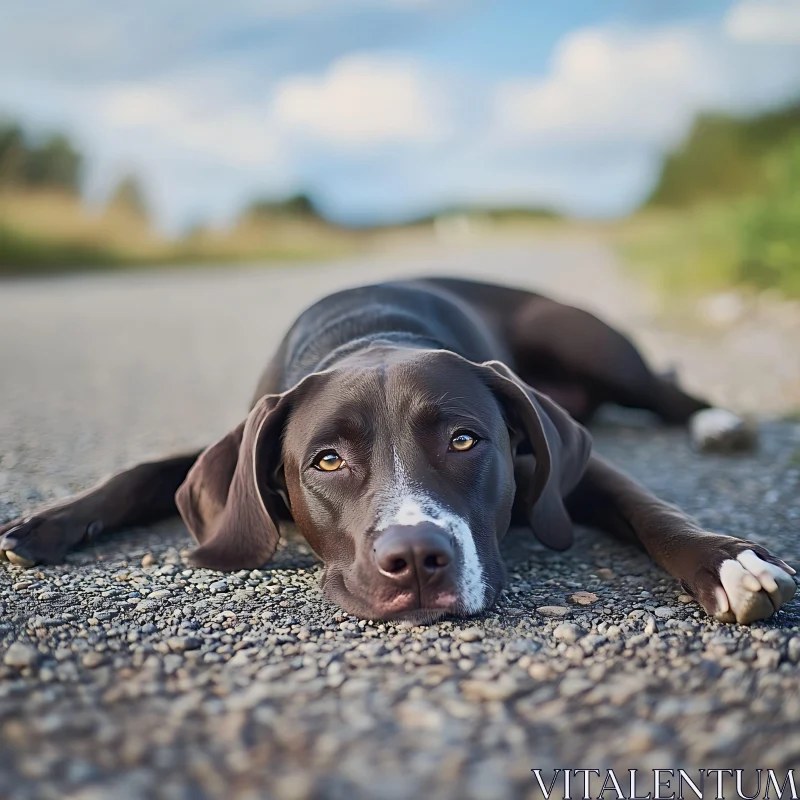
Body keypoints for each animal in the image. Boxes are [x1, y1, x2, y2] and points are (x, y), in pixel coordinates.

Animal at [0, 276, 792, 624]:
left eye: (465, 440)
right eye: (327, 460)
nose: (415, 558)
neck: (371, 337)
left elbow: (648, 508)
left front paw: (731, 563)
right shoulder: (237, 437)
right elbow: (147, 472)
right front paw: (46, 523)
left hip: (583, 338)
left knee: (666, 389)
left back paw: (719, 422)